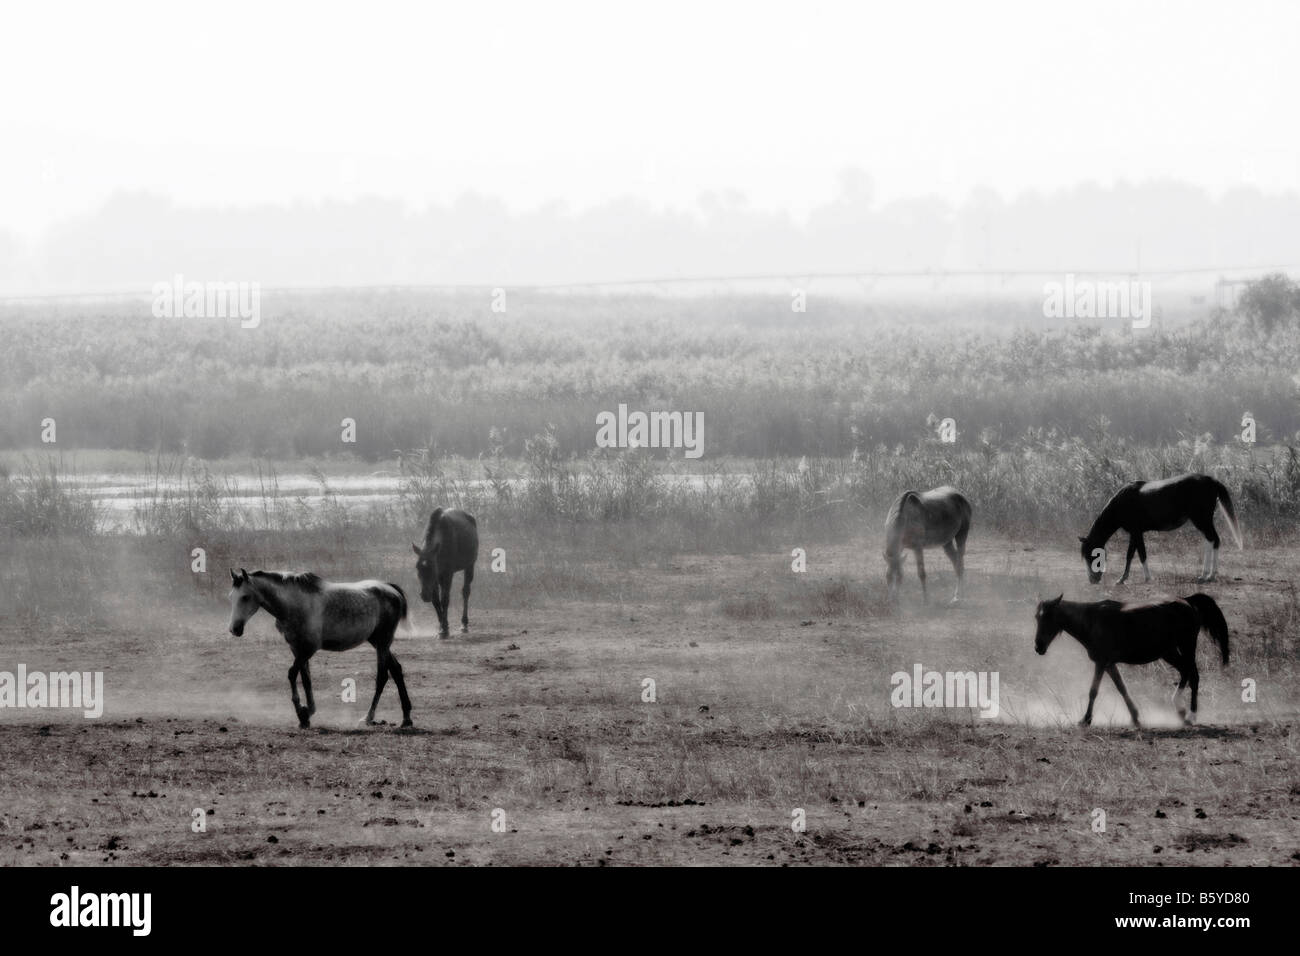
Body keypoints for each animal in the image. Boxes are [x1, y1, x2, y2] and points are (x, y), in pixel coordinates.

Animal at [227, 569, 413, 729]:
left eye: (245, 597)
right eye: (231, 597)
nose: (234, 629)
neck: (294, 604)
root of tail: (391, 589)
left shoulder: (309, 648)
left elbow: (292, 674)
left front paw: (302, 712)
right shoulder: (297, 648)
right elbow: (305, 678)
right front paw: (307, 715)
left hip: (382, 643)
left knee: (382, 677)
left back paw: (368, 717)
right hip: (378, 642)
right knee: (396, 670)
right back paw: (406, 718)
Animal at [412, 507, 479, 638]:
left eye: (432, 568)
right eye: (417, 568)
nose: (424, 595)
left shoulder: (447, 575)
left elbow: (444, 600)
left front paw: (444, 630)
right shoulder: (435, 580)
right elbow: (436, 601)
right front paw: (442, 627)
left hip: (469, 566)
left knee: (466, 592)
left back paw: (464, 624)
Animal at [1033, 592, 1229, 728]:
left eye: (1049, 617)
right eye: (1037, 617)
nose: (1038, 647)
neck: (1092, 620)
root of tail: (1187, 601)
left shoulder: (1101, 663)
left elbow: (1093, 691)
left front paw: (1086, 720)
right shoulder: (1109, 664)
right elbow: (1122, 688)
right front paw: (1135, 717)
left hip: (1186, 646)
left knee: (1193, 676)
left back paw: (1190, 715)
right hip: (1169, 652)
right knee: (1185, 672)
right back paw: (1180, 710)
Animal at [1079, 473, 1242, 586]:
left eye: (1091, 555)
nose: (1093, 580)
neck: (1122, 502)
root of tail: (1212, 480)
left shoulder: (1136, 533)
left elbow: (1139, 554)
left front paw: (1144, 578)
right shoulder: (1135, 533)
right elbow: (1132, 555)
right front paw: (1124, 578)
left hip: (1202, 521)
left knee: (1214, 540)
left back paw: (1209, 575)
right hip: (1202, 522)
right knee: (1211, 541)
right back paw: (1206, 575)